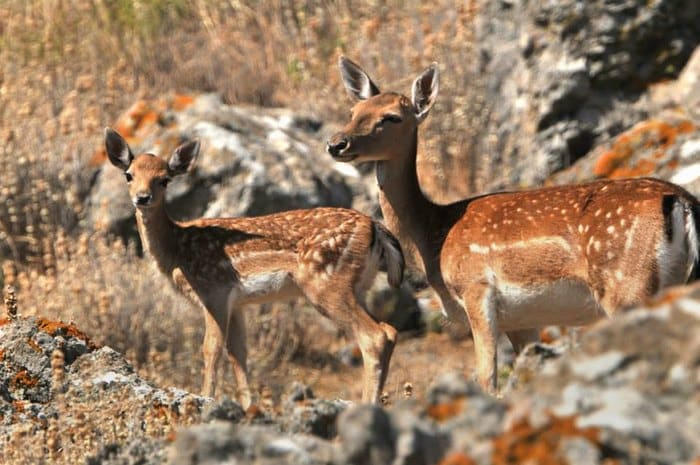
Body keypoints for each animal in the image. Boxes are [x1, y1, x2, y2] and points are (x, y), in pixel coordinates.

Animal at [101, 127, 402, 406]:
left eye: (164, 180)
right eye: (129, 175)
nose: (142, 198)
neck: (177, 250)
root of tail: (375, 227)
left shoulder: (214, 291)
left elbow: (211, 349)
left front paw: (206, 397)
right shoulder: (237, 304)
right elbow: (239, 353)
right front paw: (248, 406)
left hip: (326, 283)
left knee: (374, 336)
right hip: (357, 287)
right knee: (389, 330)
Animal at [328, 57, 700, 392]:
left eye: (391, 118)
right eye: (353, 112)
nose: (336, 144)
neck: (434, 238)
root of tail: (682, 202)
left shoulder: (477, 289)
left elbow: (487, 379)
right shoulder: (522, 320)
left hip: (627, 285)